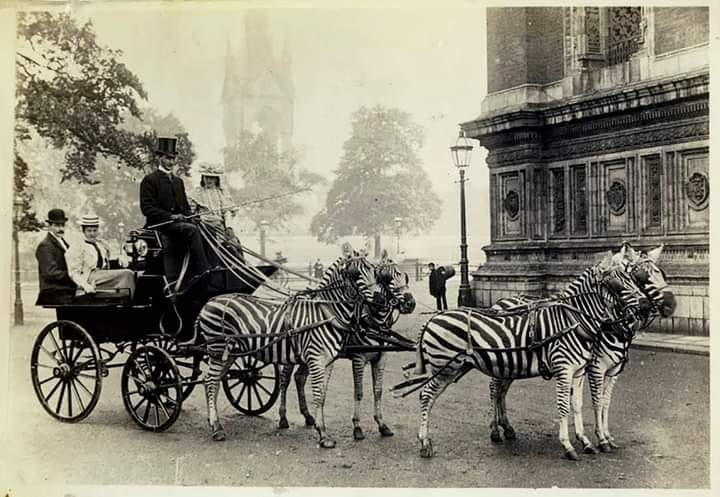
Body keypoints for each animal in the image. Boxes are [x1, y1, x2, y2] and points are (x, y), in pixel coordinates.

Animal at [197, 248, 388, 446]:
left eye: (374, 272)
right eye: (355, 274)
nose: (381, 298)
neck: (325, 313)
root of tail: (209, 302)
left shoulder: (328, 362)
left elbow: (323, 396)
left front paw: (320, 428)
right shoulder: (317, 360)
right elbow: (318, 395)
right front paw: (323, 434)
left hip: (230, 353)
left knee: (212, 381)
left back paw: (213, 421)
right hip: (218, 351)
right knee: (210, 381)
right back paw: (217, 428)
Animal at [278, 254, 420, 440]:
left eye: (405, 277)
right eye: (387, 279)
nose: (411, 303)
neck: (374, 323)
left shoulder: (381, 358)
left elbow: (378, 391)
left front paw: (382, 425)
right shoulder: (358, 358)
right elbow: (358, 392)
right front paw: (357, 427)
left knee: (299, 378)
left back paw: (308, 416)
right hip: (291, 354)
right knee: (284, 380)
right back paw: (283, 418)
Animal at [404, 254, 652, 460]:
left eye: (635, 279)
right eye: (618, 283)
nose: (646, 305)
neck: (573, 320)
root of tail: (432, 318)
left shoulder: (580, 370)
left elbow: (578, 405)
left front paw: (585, 441)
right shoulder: (566, 369)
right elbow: (564, 406)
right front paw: (569, 445)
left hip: (475, 366)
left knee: (486, 392)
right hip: (445, 367)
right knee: (426, 395)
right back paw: (425, 443)